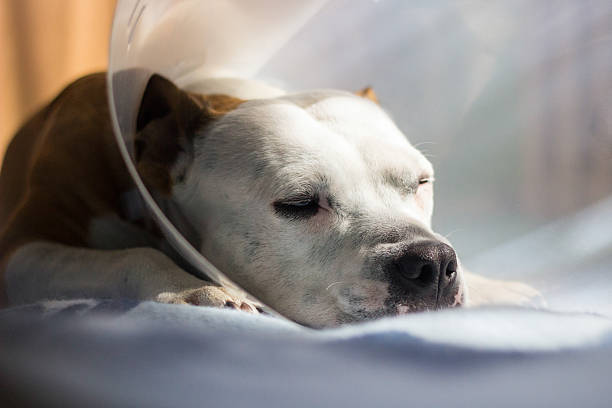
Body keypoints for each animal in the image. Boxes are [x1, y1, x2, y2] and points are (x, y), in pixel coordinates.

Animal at [0, 74, 536, 328]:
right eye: (299, 204)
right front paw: (193, 289)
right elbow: (131, 256)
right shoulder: (19, 249)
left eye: (420, 183)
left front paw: (493, 284)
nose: (433, 262)